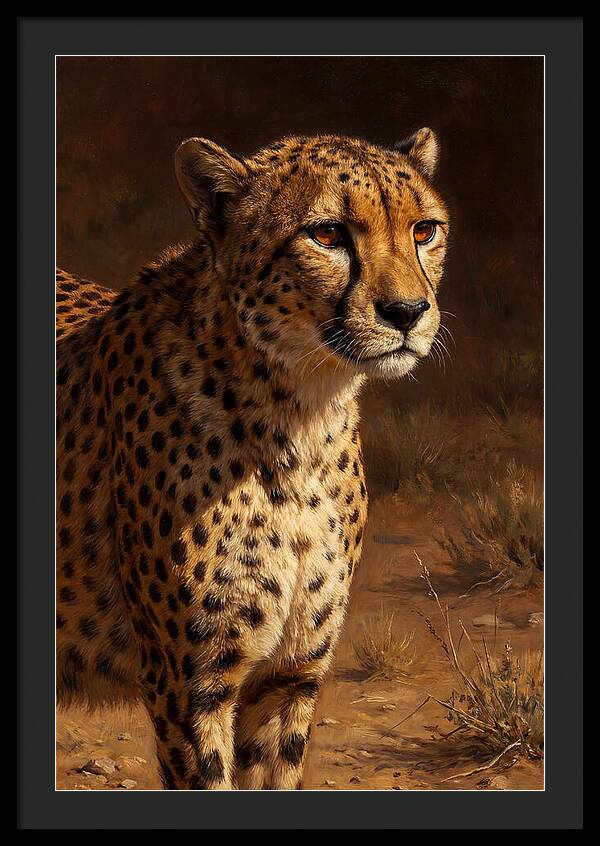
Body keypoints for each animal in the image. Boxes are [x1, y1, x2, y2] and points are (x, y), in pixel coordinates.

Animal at [56, 127, 449, 790]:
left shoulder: (289, 677)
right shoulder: (189, 685)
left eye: (423, 230)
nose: (407, 312)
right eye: (328, 234)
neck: (298, 422)